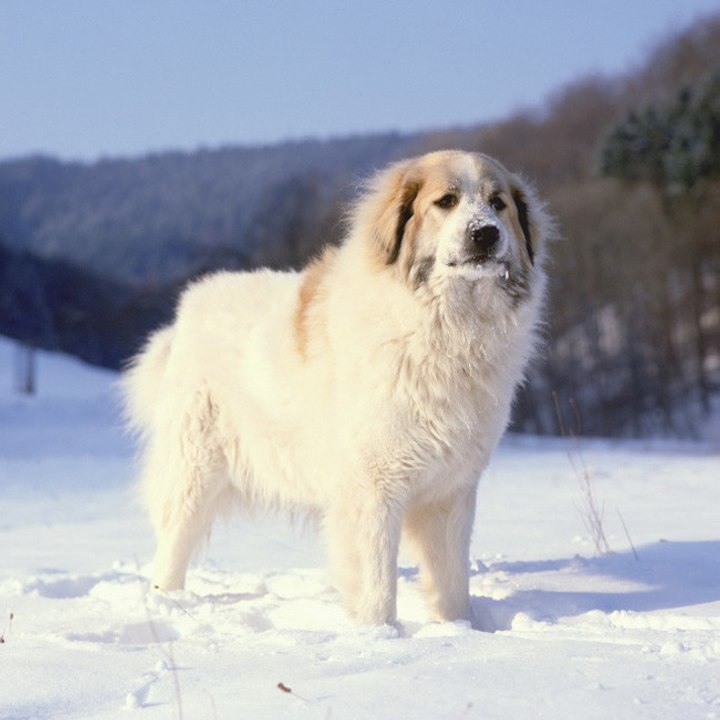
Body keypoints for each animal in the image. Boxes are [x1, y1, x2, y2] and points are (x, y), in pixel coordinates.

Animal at [124, 150, 552, 624]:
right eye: (446, 201)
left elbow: (452, 582)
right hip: (194, 468)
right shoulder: (374, 486)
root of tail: (189, 308)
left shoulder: (451, 489)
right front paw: (379, 633)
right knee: (173, 540)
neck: (447, 328)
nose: (485, 233)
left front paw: (456, 630)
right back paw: (166, 603)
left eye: (498, 204)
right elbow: (377, 583)